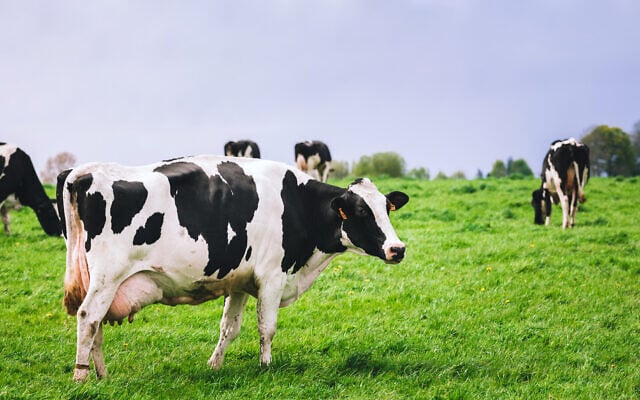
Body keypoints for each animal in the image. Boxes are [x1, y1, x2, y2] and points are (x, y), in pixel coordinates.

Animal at [58, 155, 409, 381]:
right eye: (361, 211)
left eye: (387, 208)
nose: (398, 248)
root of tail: (88, 171)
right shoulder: (272, 276)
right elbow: (267, 327)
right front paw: (266, 367)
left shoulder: (239, 280)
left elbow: (230, 327)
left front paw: (214, 365)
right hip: (108, 276)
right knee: (88, 318)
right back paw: (81, 378)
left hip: (101, 280)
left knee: (96, 324)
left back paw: (102, 374)